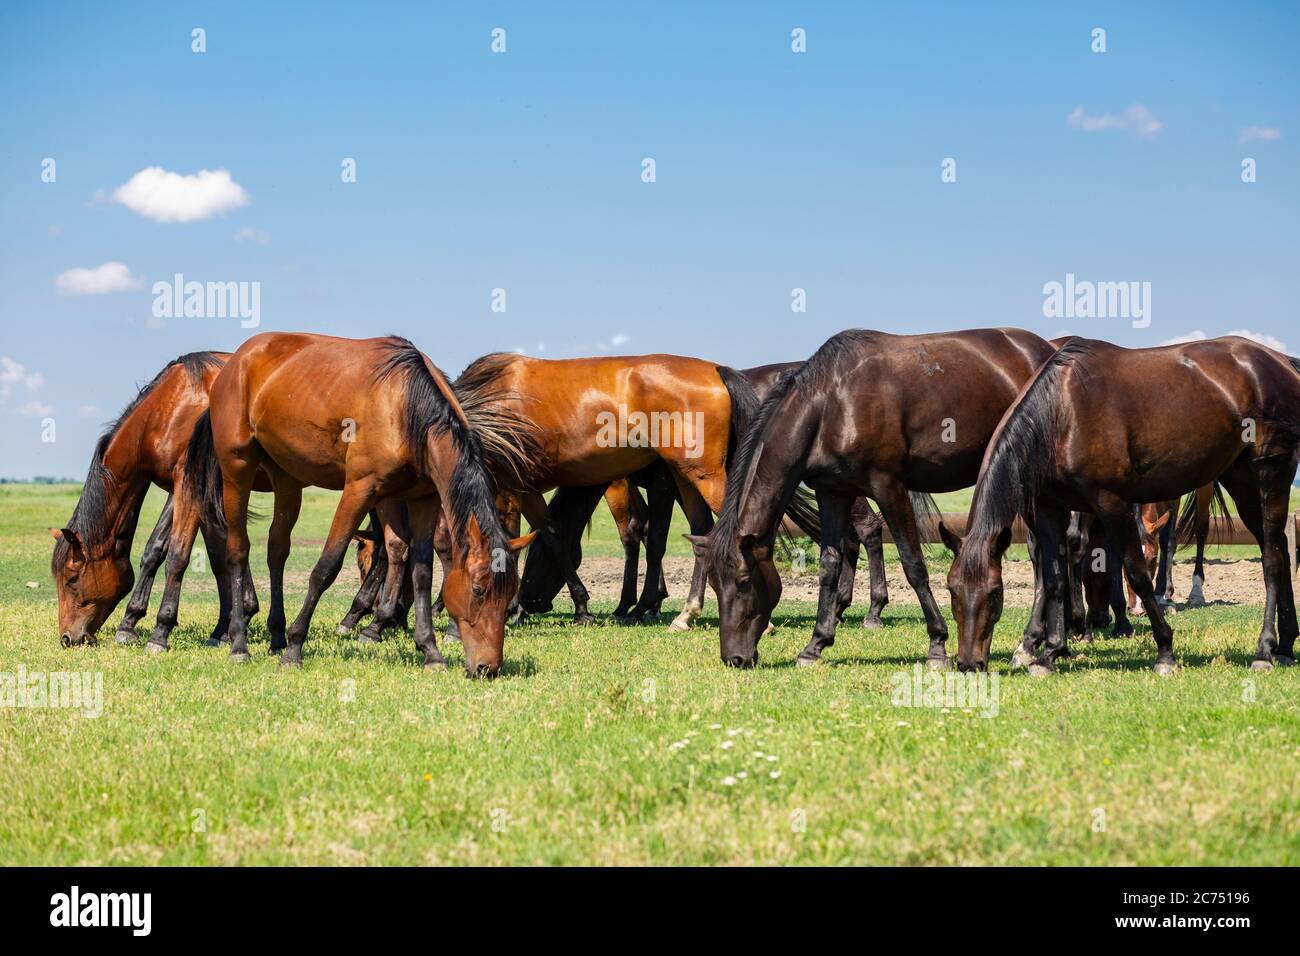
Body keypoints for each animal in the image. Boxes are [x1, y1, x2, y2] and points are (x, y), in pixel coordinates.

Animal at [49, 352, 264, 650]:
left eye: (71, 579)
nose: (68, 638)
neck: (169, 409)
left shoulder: (189, 484)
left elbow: (179, 555)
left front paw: (161, 631)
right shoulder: (185, 489)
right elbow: (160, 550)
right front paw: (129, 624)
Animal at [184, 333, 536, 677]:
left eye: (509, 594)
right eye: (478, 590)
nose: (488, 667)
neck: (405, 404)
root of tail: (235, 363)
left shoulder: (420, 498)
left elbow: (421, 571)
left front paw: (430, 651)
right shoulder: (359, 490)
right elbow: (326, 567)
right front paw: (295, 649)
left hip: (286, 478)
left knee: (277, 551)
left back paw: (276, 637)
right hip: (237, 470)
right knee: (238, 550)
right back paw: (239, 643)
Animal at [701, 328, 1057, 669]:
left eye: (744, 582)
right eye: (714, 585)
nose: (734, 658)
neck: (832, 404)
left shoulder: (889, 488)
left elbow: (913, 564)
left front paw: (937, 644)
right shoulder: (833, 493)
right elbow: (830, 565)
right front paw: (815, 645)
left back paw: (1032, 643)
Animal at [945, 336, 1300, 675]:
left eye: (995, 592)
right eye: (951, 590)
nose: (968, 664)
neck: (1062, 414)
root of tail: (1281, 362)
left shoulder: (1111, 504)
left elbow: (1136, 572)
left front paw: (1165, 651)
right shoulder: (1049, 509)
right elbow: (1055, 577)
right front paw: (1049, 653)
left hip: (1271, 473)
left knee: (1272, 559)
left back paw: (1265, 650)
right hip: (1241, 481)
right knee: (1279, 547)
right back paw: (1285, 645)